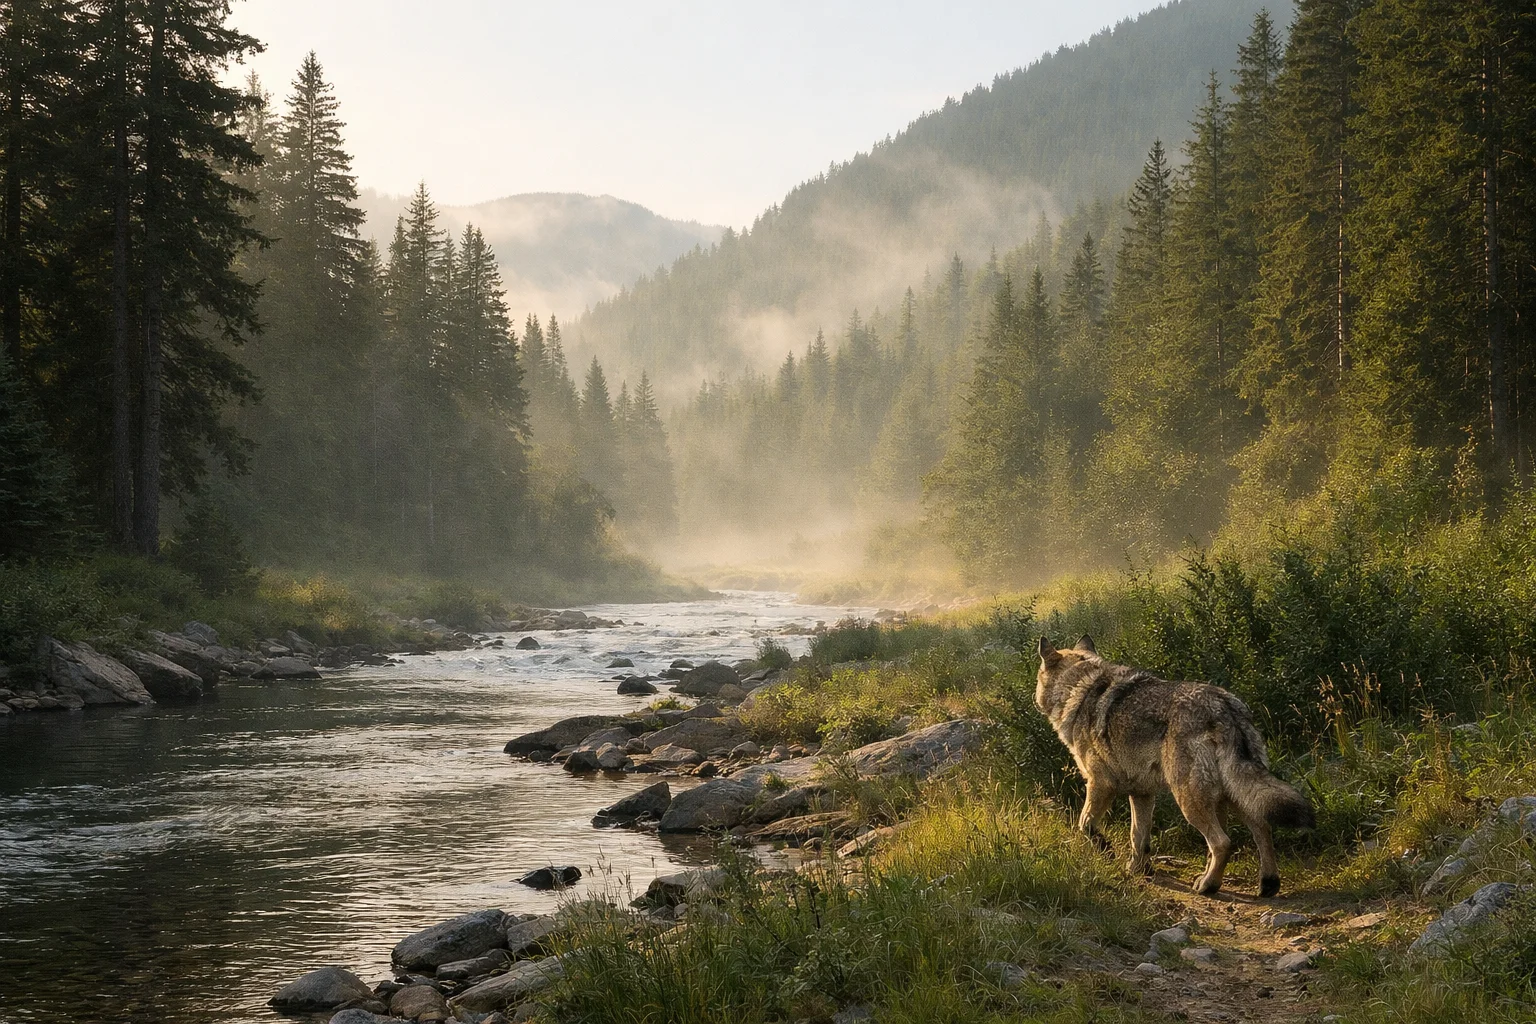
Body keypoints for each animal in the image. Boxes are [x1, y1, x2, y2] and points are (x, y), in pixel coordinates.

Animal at [1035, 635, 1314, 897]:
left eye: (1037, 676)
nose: (1033, 697)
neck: (1079, 689)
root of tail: (1224, 707)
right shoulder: (1142, 794)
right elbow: (1139, 837)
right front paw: (1139, 870)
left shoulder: (1100, 784)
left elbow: (1085, 824)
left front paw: (1107, 851)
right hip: (1234, 795)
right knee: (1261, 830)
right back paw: (1267, 884)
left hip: (1189, 801)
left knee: (1223, 842)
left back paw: (1208, 886)